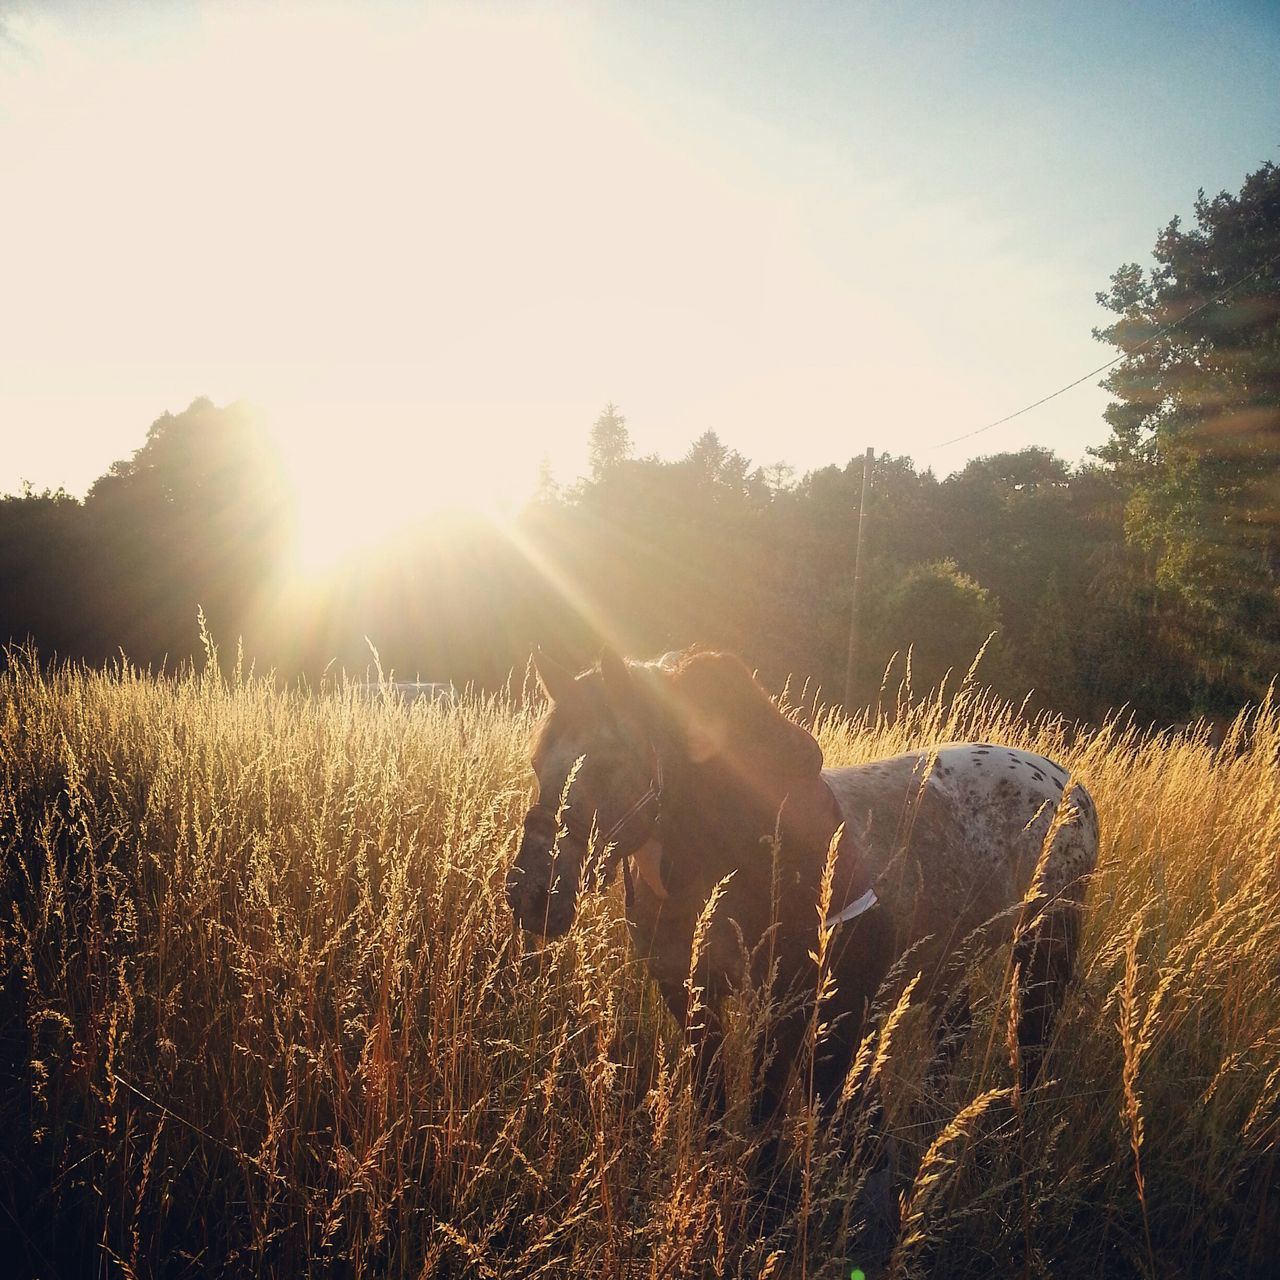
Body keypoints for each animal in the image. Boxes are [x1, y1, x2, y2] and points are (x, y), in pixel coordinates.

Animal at [506, 645, 1100, 1126]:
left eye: (608, 764)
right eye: (536, 763)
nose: (531, 897)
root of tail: (1067, 783)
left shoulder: (786, 1005)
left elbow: (762, 1119)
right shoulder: (690, 995)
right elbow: (713, 1108)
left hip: (1041, 948)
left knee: (1031, 1047)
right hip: (945, 957)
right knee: (954, 1038)